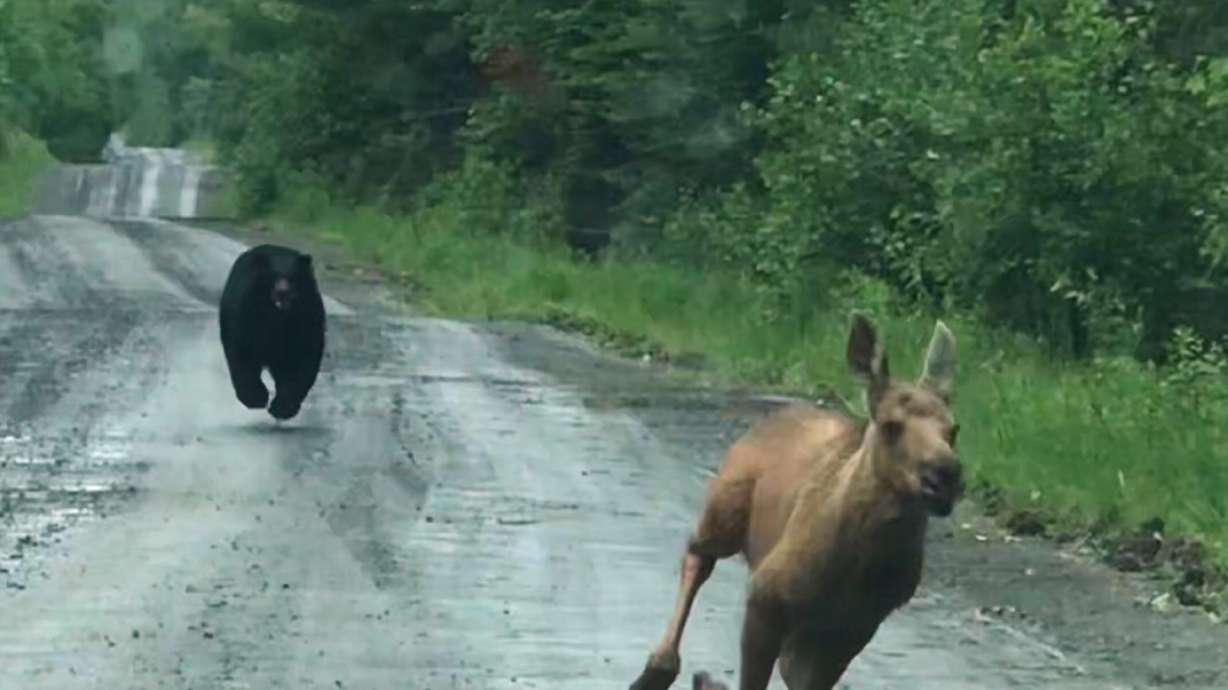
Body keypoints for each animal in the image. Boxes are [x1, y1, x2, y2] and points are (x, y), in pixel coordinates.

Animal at [218, 243, 326, 421]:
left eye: (292, 276)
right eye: (273, 276)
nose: (283, 291)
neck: (277, 316)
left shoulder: (306, 316)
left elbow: (301, 357)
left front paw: (283, 407)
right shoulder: (246, 312)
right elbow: (243, 351)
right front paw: (254, 397)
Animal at [629, 312, 963, 690]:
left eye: (954, 430)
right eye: (892, 425)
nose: (945, 476)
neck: (860, 564)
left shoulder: (855, 627)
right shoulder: (765, 596)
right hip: (725, 507)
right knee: (698, 554)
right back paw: (657, 671)